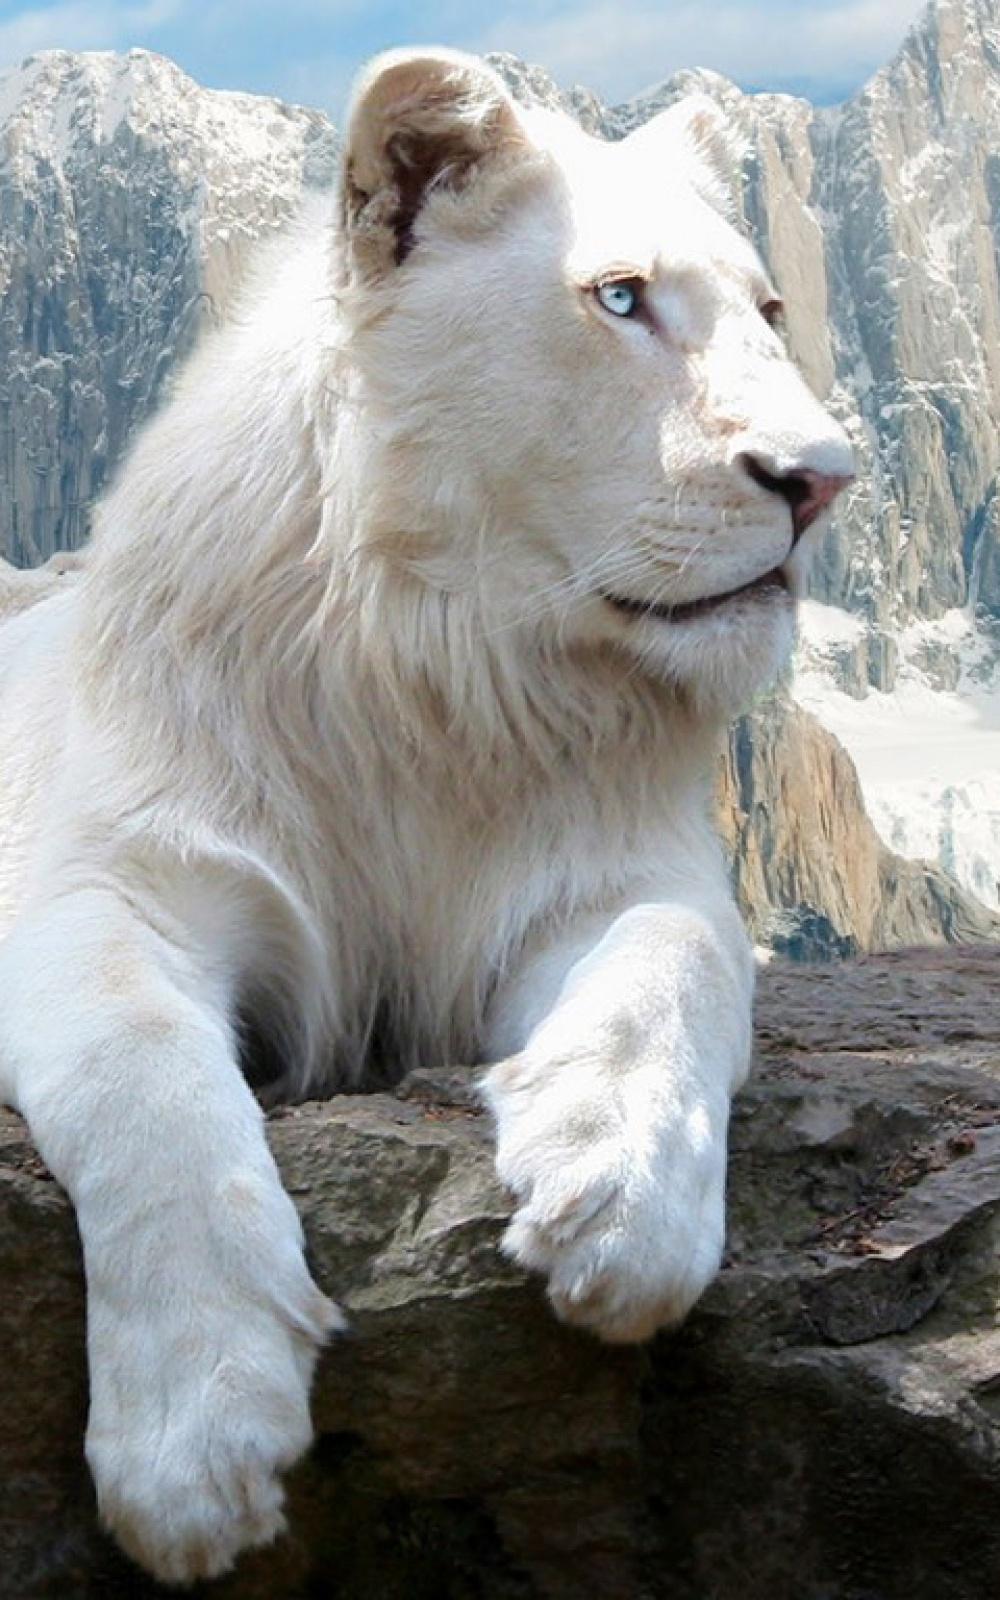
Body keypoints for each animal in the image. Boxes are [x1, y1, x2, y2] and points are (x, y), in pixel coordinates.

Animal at [0, 49, 853, 1583]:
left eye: (768, 310)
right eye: (620, 299)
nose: (823, 479)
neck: (446, 677)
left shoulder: (622, 872)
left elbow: (676, 965)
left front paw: (619, 1195)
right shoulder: (112, 884)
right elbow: (143, 1080)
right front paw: (197, 1441)